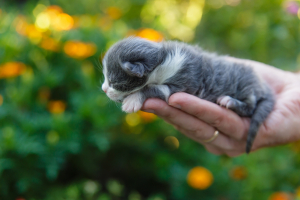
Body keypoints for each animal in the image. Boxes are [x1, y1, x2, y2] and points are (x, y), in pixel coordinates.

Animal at [102, 37, 274, 153]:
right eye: (105, 77)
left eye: (114, 82)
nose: (103, 89)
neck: (162, 60)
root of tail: (264, 86)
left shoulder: (184, 84)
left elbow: (152, 88)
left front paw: (132, 100)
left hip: (247, 86)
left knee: (250, 107)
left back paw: (230, 101)